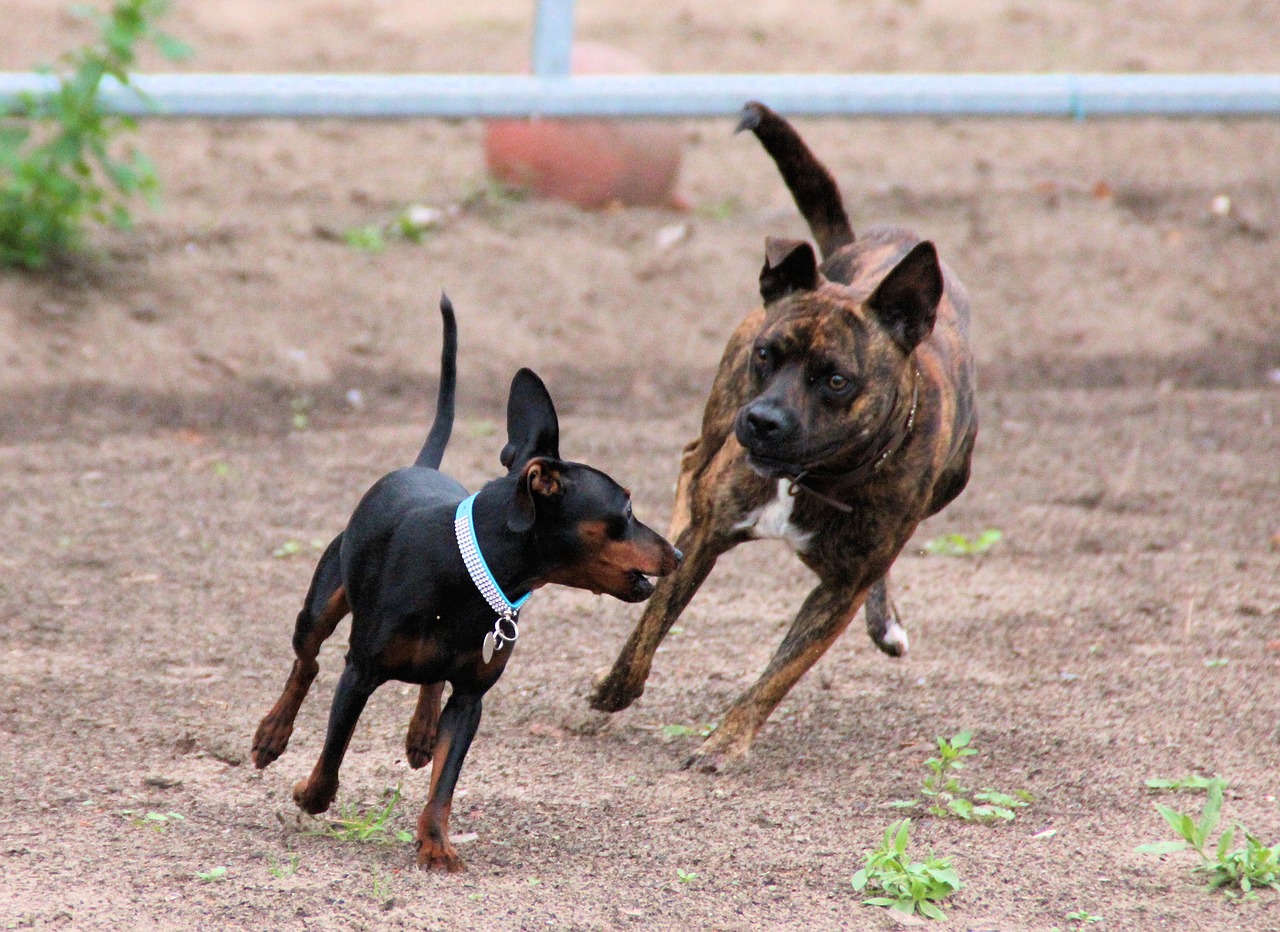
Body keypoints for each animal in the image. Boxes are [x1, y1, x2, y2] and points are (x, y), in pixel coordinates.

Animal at [253, 297, 686, 865]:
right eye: (628, 510)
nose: (678, 552)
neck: (467, 574)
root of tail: (418, 466)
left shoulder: (470, 700)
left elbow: (444, 781)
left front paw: (436, 846)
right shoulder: (360, 674)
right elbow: (333, 750)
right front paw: (311, 795)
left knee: (428, 681)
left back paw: (420, 733)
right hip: (322, 603)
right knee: (307, 662)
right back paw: (272, 734)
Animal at [588, 101, 977, 773]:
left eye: (837, 380)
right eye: (769, 355)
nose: (764, 421)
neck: (810, 479)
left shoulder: (841, 590)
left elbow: (779, 674)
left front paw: (724, 742)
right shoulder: (709, 537)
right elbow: (652, 624)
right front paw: (615, 687)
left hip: (947, 486)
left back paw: (886, 622)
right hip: (720, 412)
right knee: (691, 460)